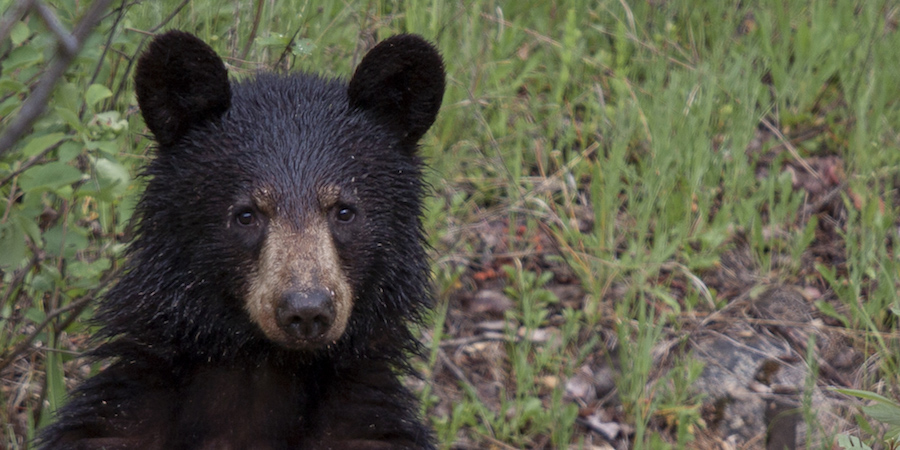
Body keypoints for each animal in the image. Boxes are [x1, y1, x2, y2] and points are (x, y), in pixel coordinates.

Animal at [39, 31, 446, 450]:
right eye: (247, 214)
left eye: (344, 211)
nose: (306, 310)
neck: (263, 369)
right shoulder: (120, 420)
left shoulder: (366, 427)